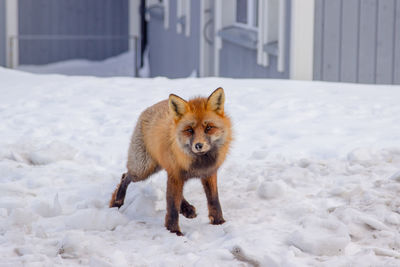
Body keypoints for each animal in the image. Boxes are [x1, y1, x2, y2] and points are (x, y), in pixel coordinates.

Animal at [110, 88, 234, 237]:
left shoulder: (209, 172)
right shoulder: (175, 175)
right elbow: (172, 207)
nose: (198, 145)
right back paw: (117, 201)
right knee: (125, 176)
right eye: (189, 130)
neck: (198, 163)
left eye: (209, 128)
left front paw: (219, 222)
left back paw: (186, 208)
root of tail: (151, 107)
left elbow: (214, 200)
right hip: (143, 169)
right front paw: (174, 231)